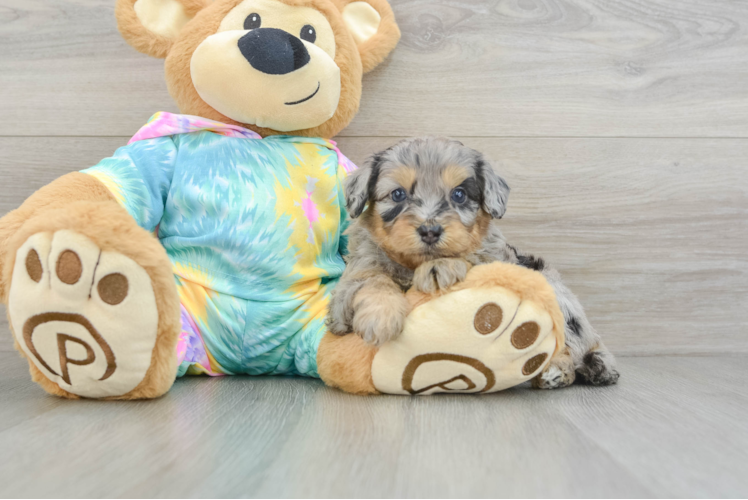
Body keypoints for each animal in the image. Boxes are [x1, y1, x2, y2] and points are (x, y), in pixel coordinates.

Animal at [328, 138, 620, 390]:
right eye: (398, 194)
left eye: (459, 194)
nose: (430, 231)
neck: (411, 265)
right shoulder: (347, 288)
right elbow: (373, 279)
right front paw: (381, 317)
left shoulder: (497, 263)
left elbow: (471, 258)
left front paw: (441, 266)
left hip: (555, 294)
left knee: (569, 345)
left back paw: (557, 370)